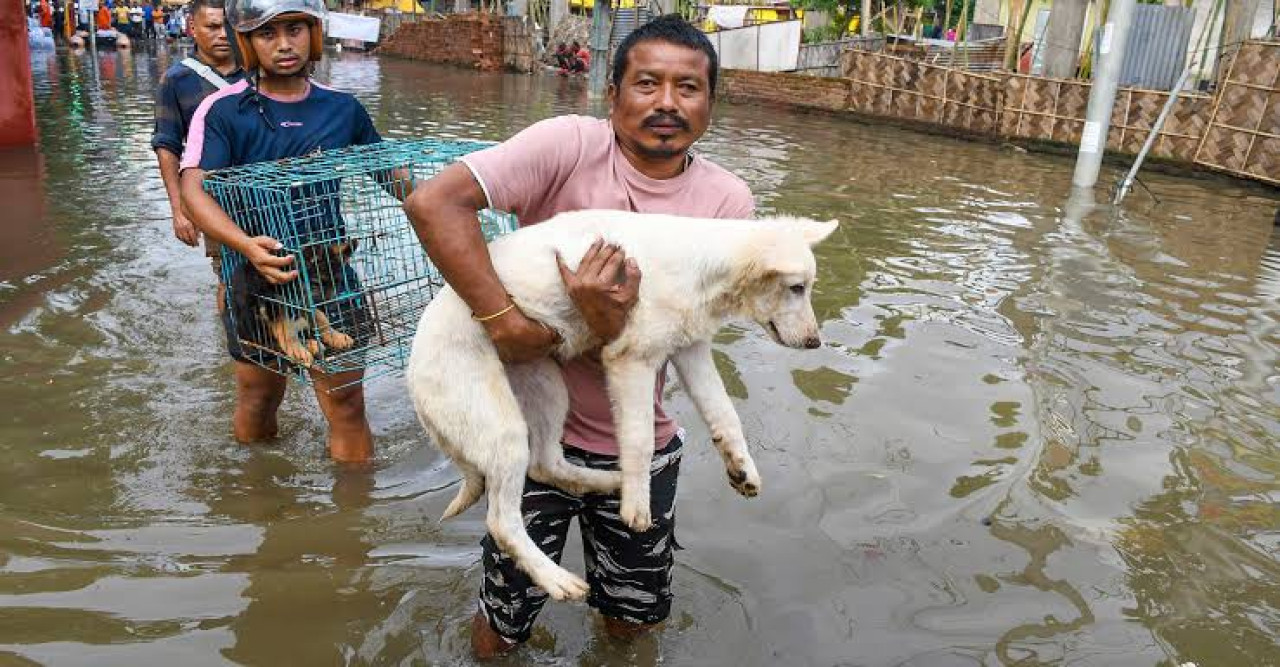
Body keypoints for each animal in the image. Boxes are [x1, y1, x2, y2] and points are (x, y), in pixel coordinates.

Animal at [227, 239, 360, 366]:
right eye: (316, 283)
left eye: (336, 282)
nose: (326, 305)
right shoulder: (274, 304)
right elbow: (286, 330)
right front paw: (297, 351)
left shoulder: (305, 302)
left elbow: (320, 318)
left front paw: (334, 335)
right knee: (270, 344)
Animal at [404, 211, 834, 601]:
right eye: (797, 287)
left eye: (807, 288)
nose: (816, 343)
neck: (700, 268)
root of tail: (411, 372)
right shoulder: (631, 360)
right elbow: (640, 439)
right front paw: (637, 507)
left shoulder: (691, 350)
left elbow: (726, 414)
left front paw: (743, 469)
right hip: (502, 428)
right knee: (502, 521)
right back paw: (557, 578)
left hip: (548, 386)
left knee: (545, 463)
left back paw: (611, 481)